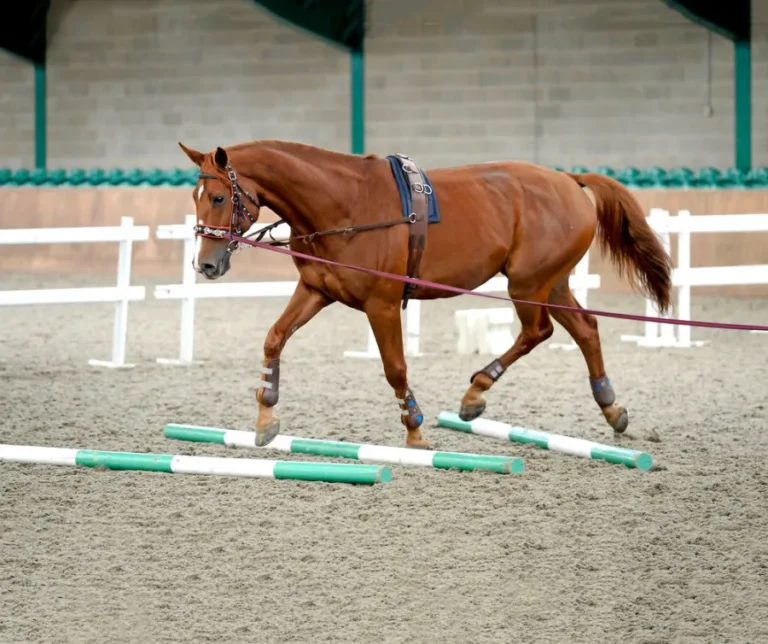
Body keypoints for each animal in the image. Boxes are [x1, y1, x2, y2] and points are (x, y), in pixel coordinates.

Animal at [178, 139, 672, 449]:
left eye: (218, 198)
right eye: (195, 196)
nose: (206, 264)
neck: (345, 202)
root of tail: (568, 180)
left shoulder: (380, 304)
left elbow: (395, 368)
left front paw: (414, 429)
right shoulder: (316, 290)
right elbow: (274, 338)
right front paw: (266, 418)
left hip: (528, 285)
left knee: (539, 332)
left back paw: (475, 393)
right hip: (552, 283)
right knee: (585, 329)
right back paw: (611, 408)